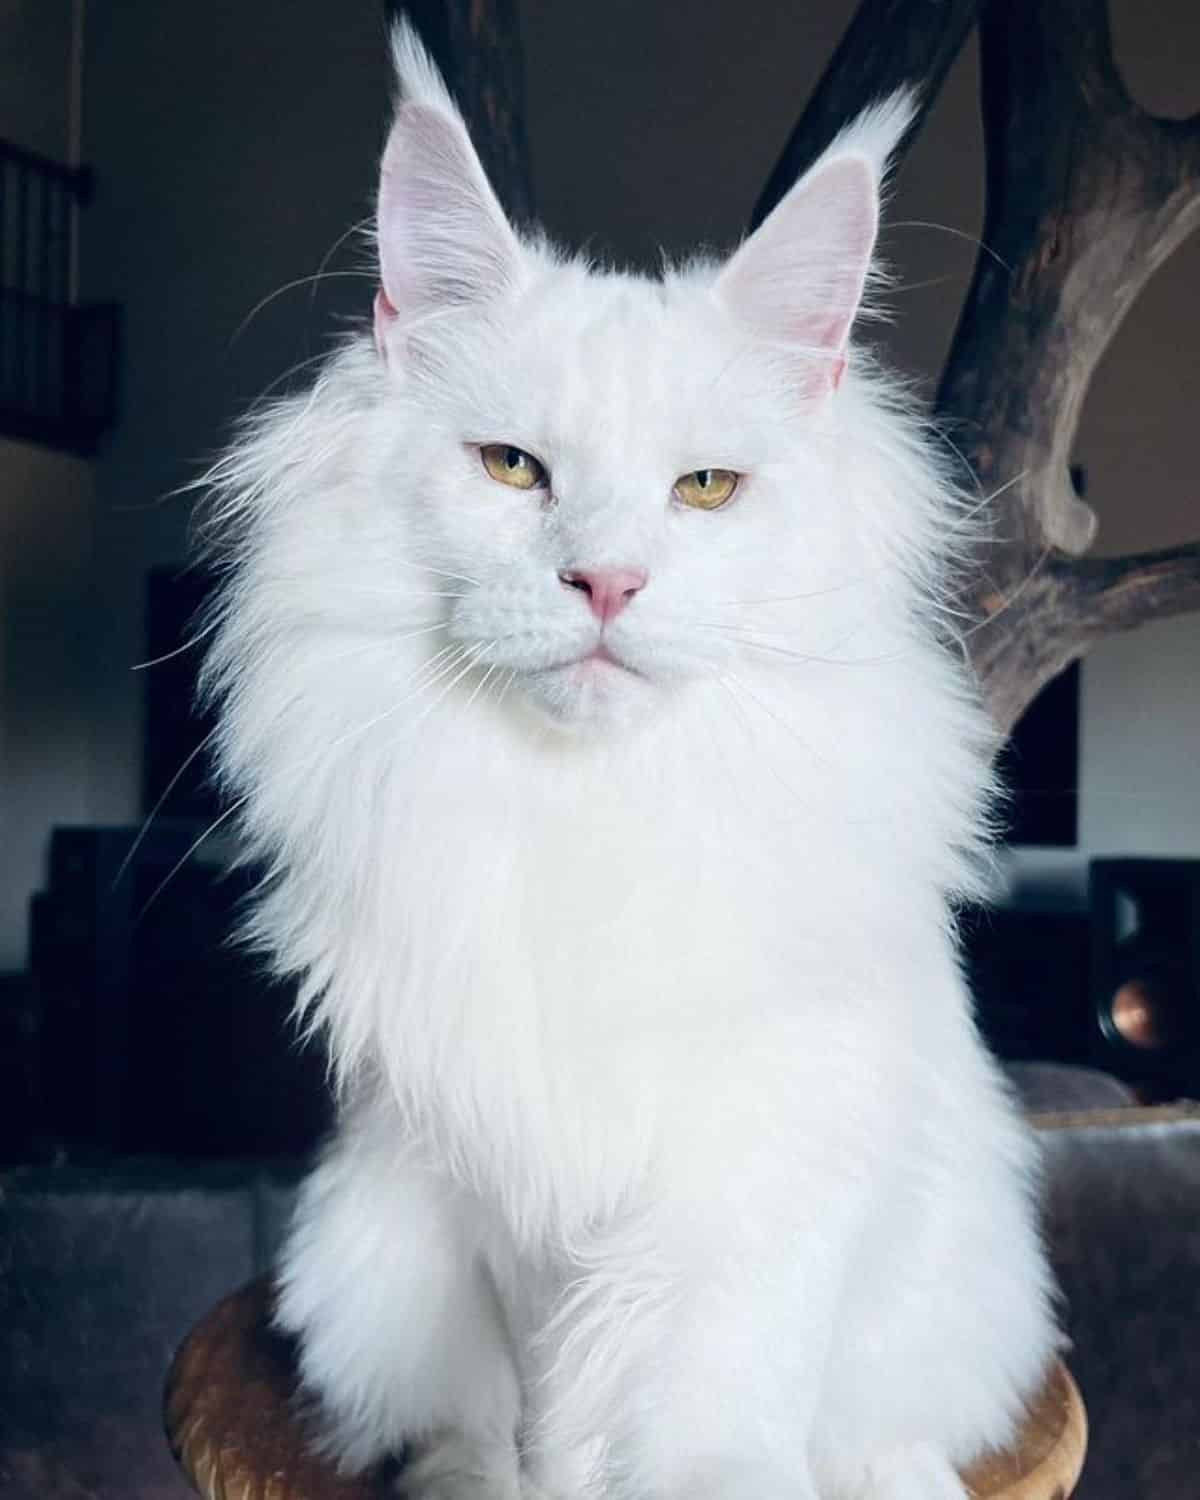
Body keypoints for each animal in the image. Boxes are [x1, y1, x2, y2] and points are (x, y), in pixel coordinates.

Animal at [204, 20, 1062, 1500]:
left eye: (705, 490)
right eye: (510, 469)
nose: (604, 582)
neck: (590, 809)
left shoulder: (768, 1169)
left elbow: (720, 1411)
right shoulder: (494, 1193)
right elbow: (538, 1417)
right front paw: (529, 1481)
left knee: (891, 1439)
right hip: (357, 1242)